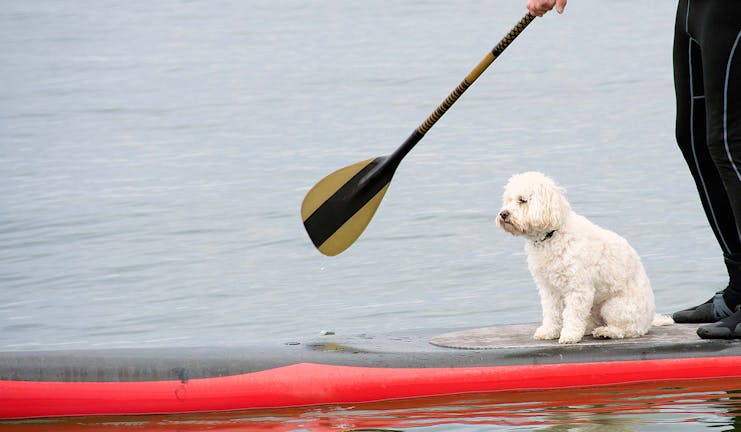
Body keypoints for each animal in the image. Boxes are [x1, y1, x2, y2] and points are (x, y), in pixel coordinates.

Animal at [498, 172, 672, 344]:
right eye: (508, 200)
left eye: (522, 200)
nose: (503, 214)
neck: (552, 234)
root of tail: (649, 319)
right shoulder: (549, 288)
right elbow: (551, 312)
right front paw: (548, 331)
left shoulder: (578, 287)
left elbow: (573, 314)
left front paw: (569, 335)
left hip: (615, 306)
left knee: (627, 330)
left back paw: (606, 332)